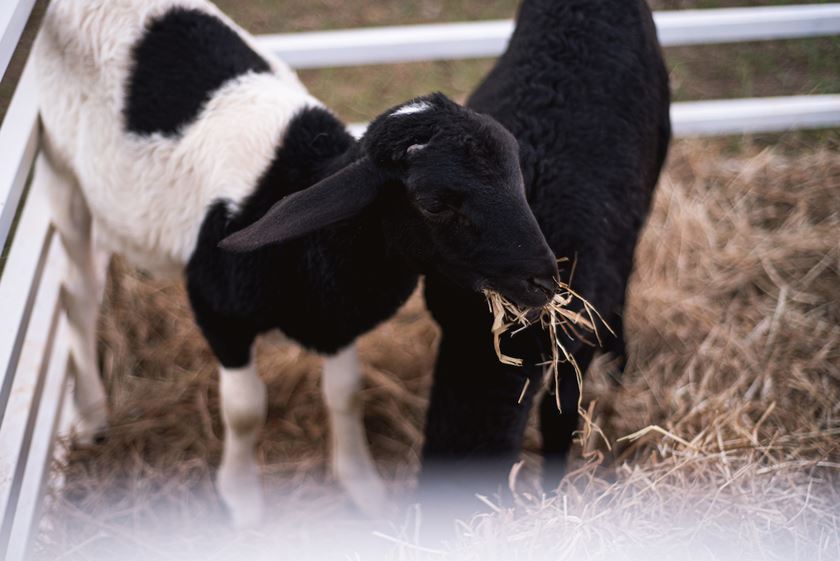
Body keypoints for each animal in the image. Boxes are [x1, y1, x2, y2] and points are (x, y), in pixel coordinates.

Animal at [34, 0, 556, 524]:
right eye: (433, 203)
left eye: (517, 177)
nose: (545, 279)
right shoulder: (218, 315)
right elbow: (245, 410)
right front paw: (243, 501)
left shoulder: (336, 315)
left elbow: (344, 394)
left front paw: (362, 486)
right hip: (60, 171)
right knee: (78, 295)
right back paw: (93, 415)